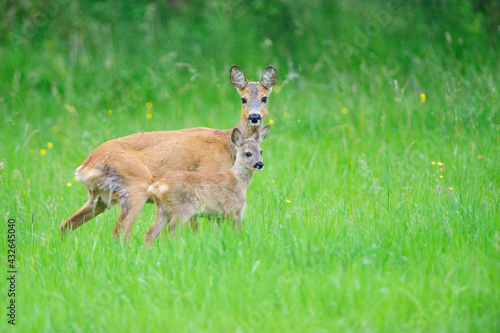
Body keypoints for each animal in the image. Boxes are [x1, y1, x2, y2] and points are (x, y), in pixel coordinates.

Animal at [61, 65, 280, 241]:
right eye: (243, 99)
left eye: (264, 98)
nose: (254, 117)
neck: (226, 147)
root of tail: (85, 166)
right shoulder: (205, 176)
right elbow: (196, 224)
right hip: (134, 186)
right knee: (119, 233)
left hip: (99, 197)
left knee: (66, 224)